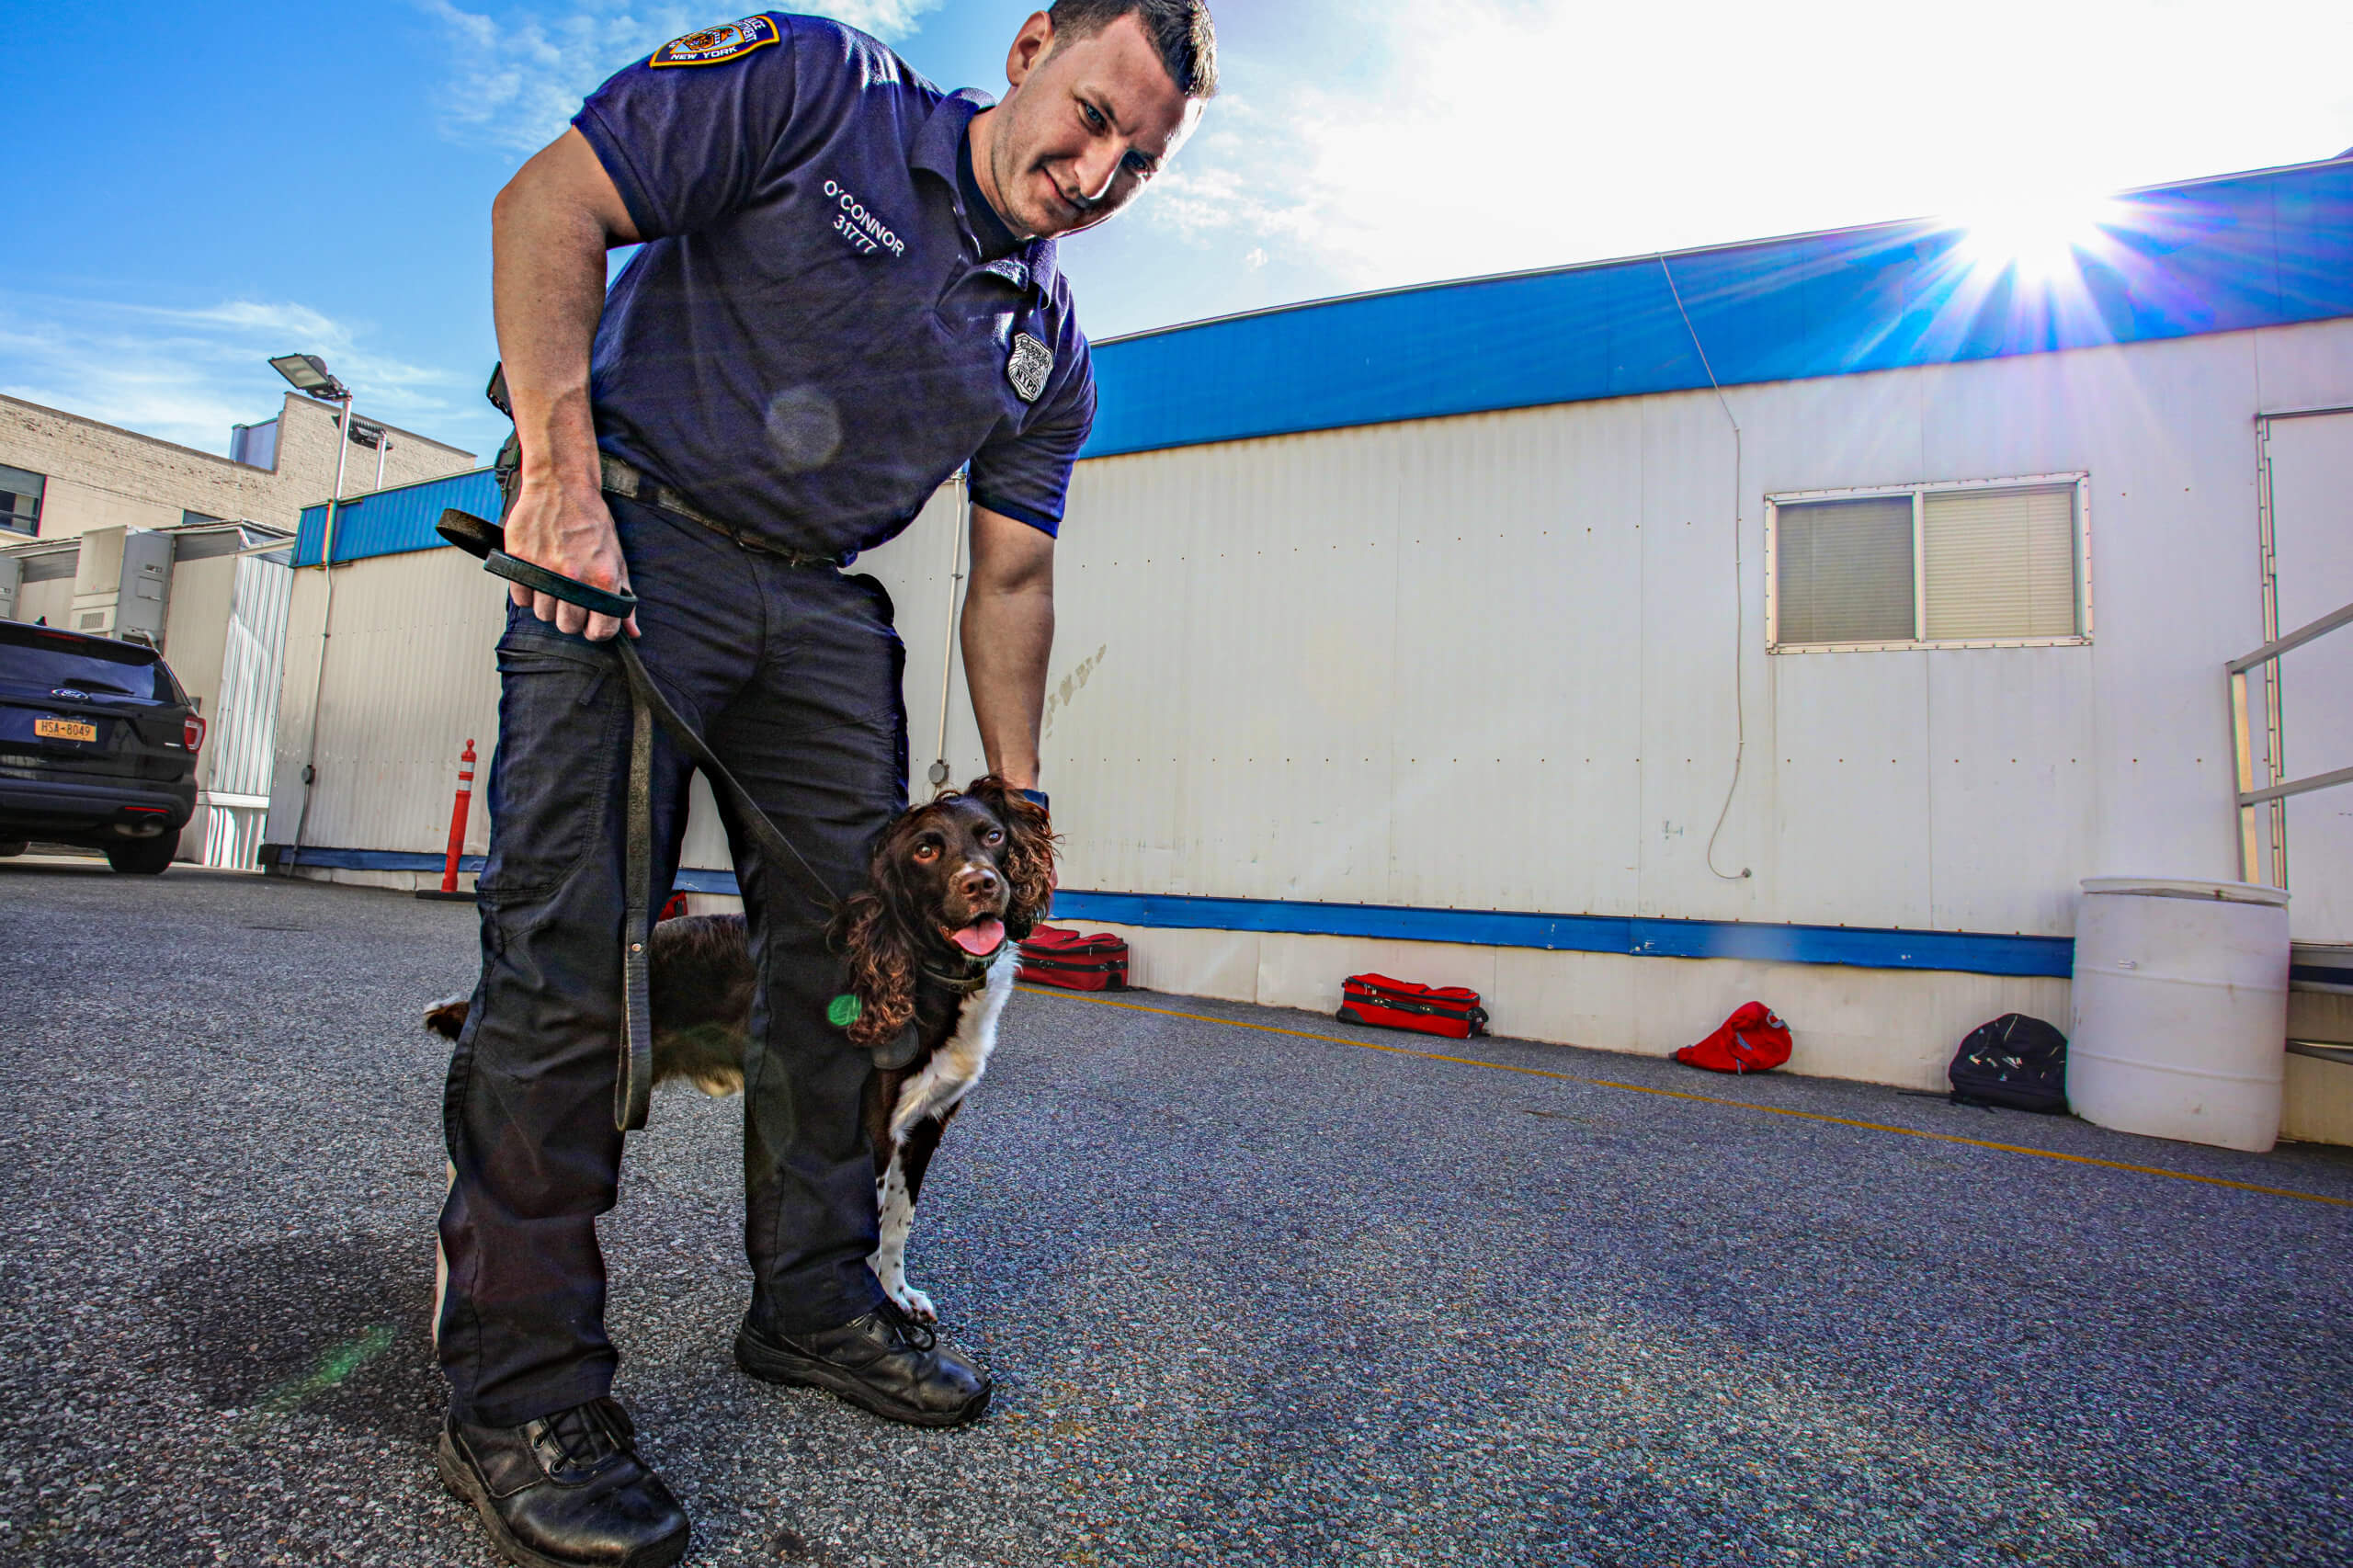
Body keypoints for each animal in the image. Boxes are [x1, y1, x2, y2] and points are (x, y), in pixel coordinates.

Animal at [430, 777, 1059, 1309]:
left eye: (992, 836)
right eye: (926, 851)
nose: (982, 884)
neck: (925, 968)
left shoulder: (924, 1127)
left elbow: (897, 1227)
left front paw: (898, 1297)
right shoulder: (872, 1129)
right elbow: (869, 1231)